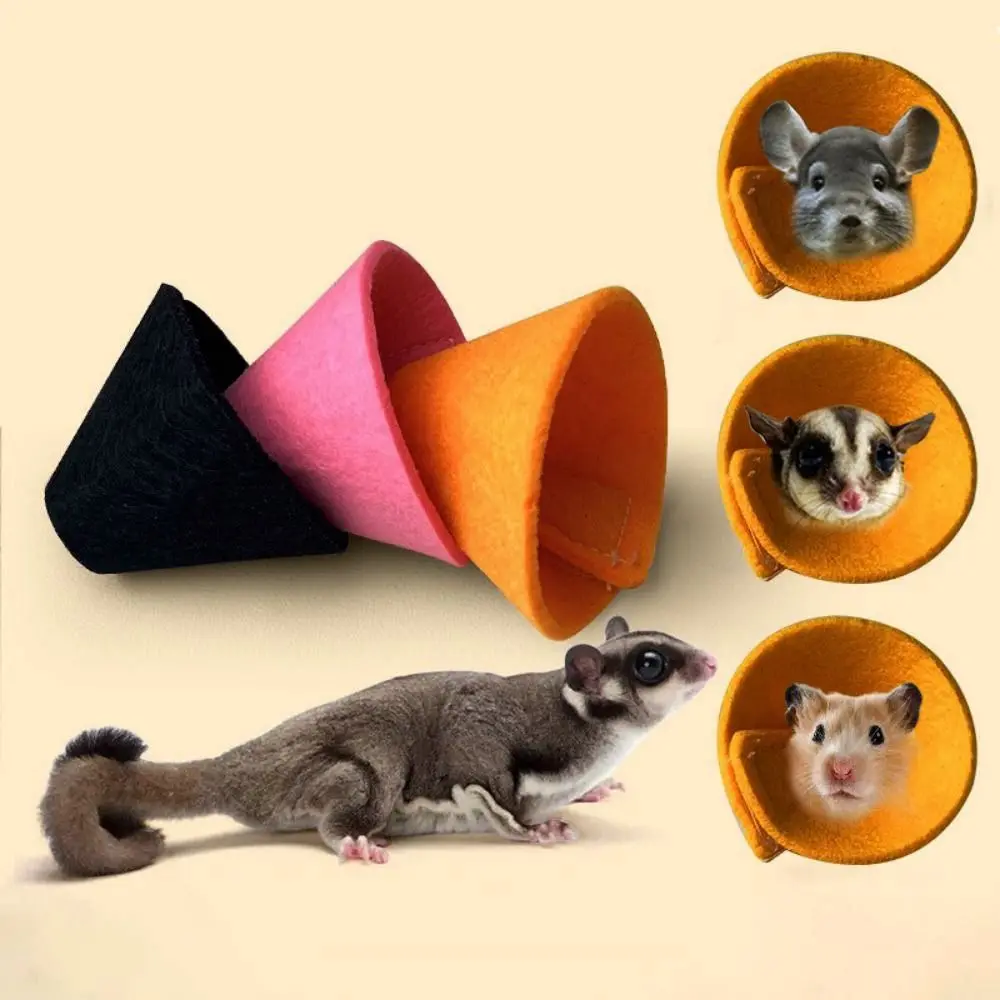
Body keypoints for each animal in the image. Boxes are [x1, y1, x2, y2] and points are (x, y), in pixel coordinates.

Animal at [39, 615, 717, 877]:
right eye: (651, 664)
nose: (711, 661)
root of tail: (245, 766)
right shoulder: (486, 739)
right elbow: (489, 786)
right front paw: (535, 830)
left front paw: (596, 791)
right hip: (352, 776)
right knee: (354, 795)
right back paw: (354, 840)